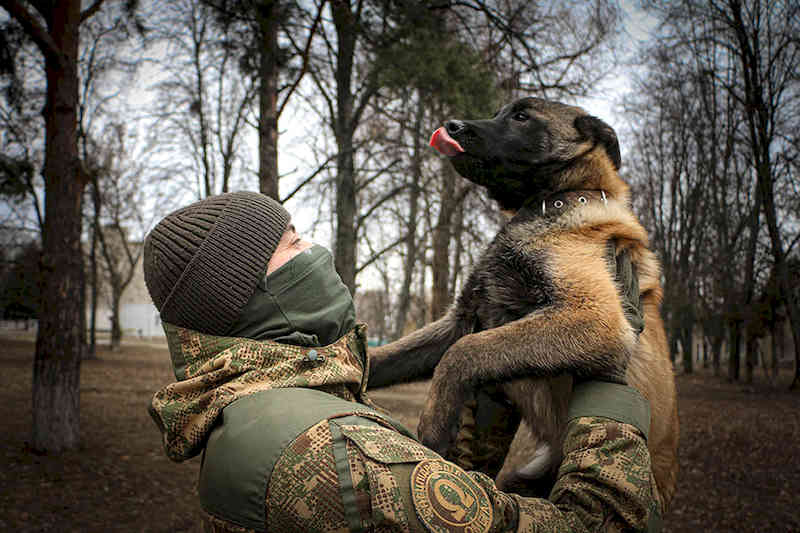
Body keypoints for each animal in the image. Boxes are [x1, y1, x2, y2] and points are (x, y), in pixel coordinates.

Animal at [368, 97, 676, 510]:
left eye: (521, 116)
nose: (450, 125)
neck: (546, 203)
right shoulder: (464, 316)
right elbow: (391, 355)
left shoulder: (597, 319)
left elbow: (462, 353)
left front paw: (433, 428)